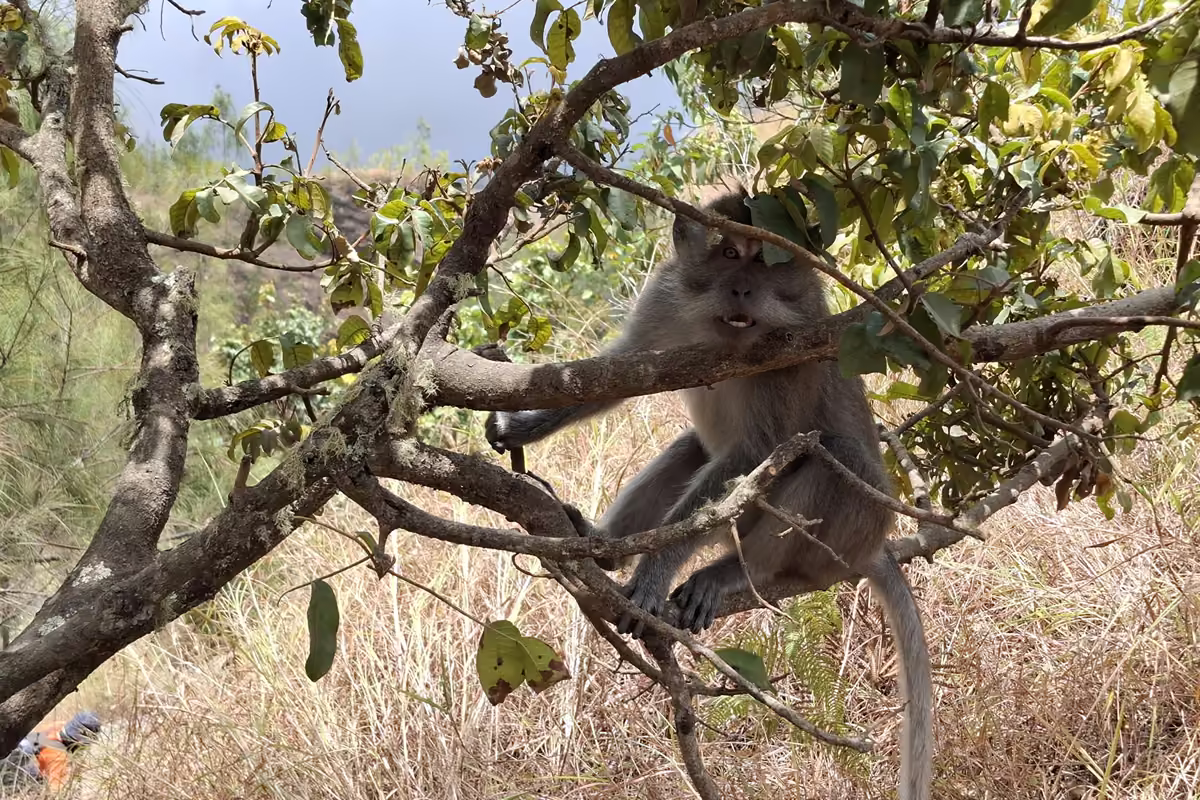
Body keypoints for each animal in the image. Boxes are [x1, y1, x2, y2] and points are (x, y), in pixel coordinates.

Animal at [485, 189, 932, 800]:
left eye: (765, 259)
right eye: (727, 253)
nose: (743, 289)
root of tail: (874, 546)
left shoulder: (792, 344)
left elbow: (759, 449)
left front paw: (655, 574)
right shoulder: (664, 301)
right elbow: (614, 376)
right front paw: (521, 425)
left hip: (846, 532)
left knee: (833, 458)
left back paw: (737, 574)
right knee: (693, 449)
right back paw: (602, 546)